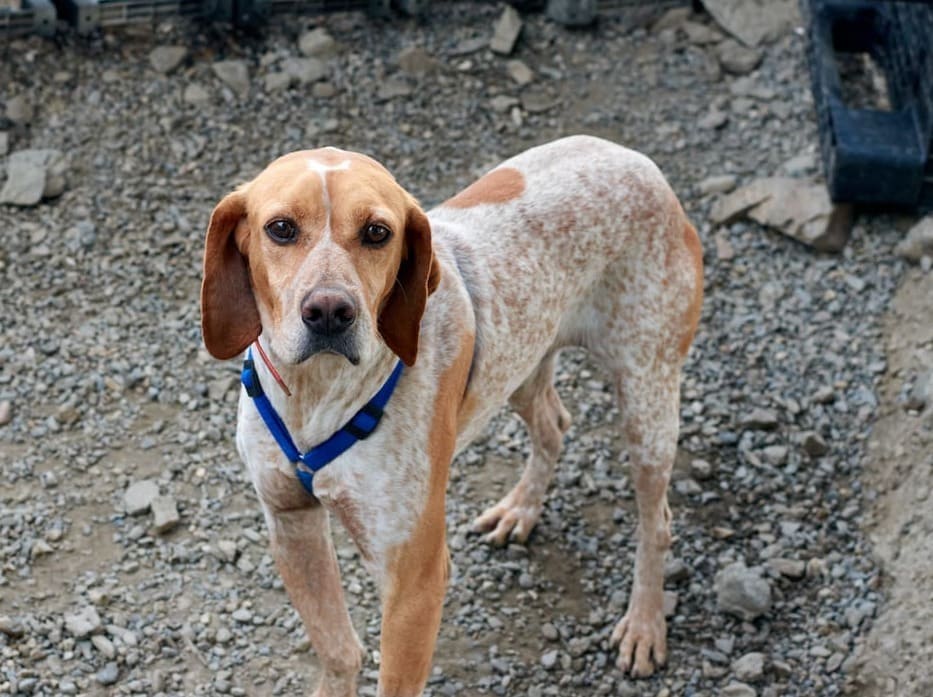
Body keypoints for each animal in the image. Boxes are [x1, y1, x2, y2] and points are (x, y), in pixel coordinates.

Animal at [200, 136, 704, 696]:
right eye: (281, 228)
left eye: (377, 232)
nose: (330, 311)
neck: (315, 393)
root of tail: (635, 158)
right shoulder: (291, 525)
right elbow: (338, 650)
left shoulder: (414, 582)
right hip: (519, 365)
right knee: (554, 426)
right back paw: (520, 511)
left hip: (647, 400)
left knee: (657, 523)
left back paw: (644, 625)